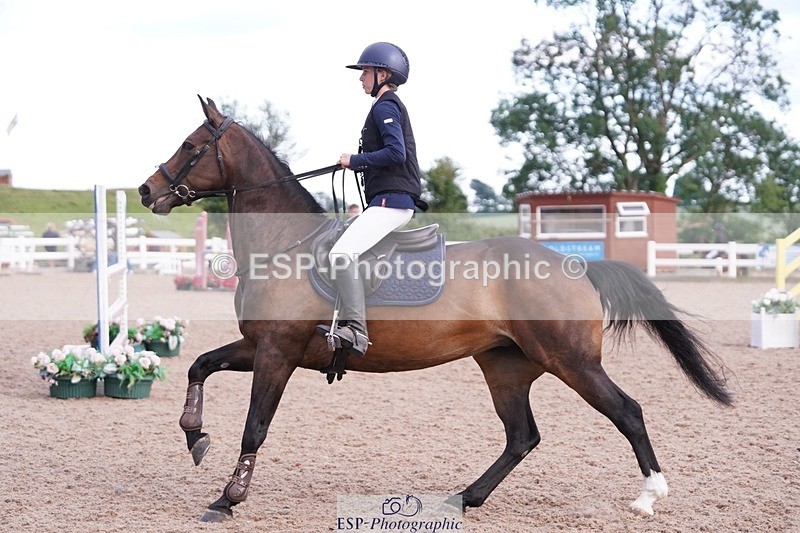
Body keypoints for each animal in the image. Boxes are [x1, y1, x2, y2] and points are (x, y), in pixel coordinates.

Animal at [138, 96, 732, 523]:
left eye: (190, 145)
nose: (146, 191)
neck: (284, 245)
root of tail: (575, 266)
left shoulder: (277, 354)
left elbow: (254, 427)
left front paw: (228, 497)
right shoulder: (257, 345)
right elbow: (199, 366)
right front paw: (194, 436)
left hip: (572, 363)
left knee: (626, 412)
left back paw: (649, 496)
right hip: (506, 366)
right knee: (522, 436)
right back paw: (465, 498)